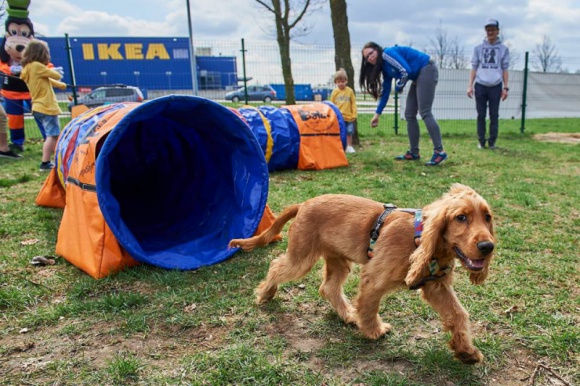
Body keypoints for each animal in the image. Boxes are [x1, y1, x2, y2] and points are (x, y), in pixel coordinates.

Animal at [229, 184, 496, 364]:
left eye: (487, 217)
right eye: (460, 217)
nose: (487, 247)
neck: (420, 238)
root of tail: (303, 204)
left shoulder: (436, 286)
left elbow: (458, 314)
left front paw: (466, 351)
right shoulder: (374, 278)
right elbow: (369, 306)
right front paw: (373, 330)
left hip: (338, 260)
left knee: (328, 287)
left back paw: (347, 314)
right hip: (301, 257)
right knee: (276, 266)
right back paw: (266, 293)